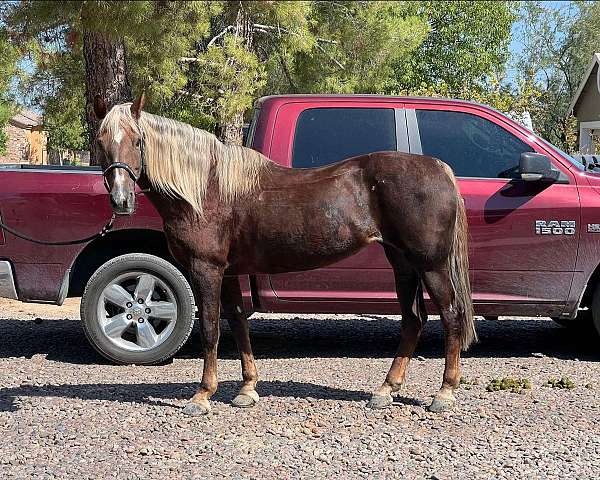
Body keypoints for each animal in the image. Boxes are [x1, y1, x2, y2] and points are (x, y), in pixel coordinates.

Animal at [95, 94, 478, 416]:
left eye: (137, 140)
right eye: (101, 142)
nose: (121, 200)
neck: (206, 190)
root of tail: (440, 169)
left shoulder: (207, 270)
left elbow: (210, 328)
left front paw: (202, 396)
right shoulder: (229, 272)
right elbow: (237, 323)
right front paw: (247, 390)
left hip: (431, 266)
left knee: (451, 315)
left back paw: (444, 393)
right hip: (403, 264)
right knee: (413, 319)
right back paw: (386, 389)